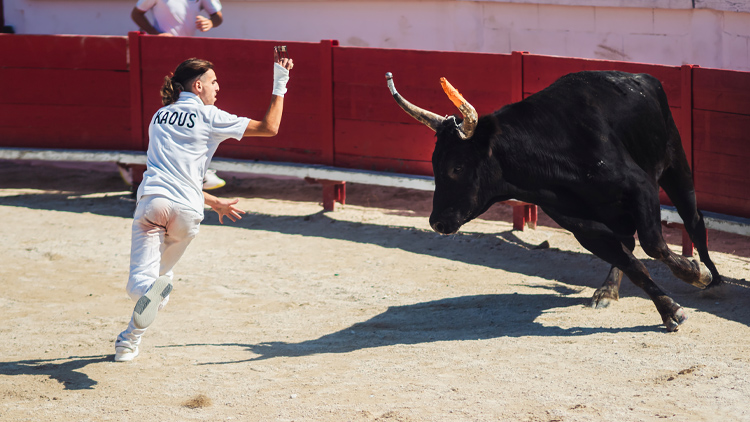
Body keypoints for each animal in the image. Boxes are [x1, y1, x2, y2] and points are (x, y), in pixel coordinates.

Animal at [388, 71, 724, 332]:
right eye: (435, 164)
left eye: (457, 167)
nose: (437, 222)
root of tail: (641, 77)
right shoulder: (582, 227)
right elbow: (633, 266)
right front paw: (669, 310)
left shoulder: (641, 188)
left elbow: (654, 246)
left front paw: (696, 274)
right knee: (627, 244)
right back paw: (606, 292)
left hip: (675, 164)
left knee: (694, 221)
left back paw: (713, 279)